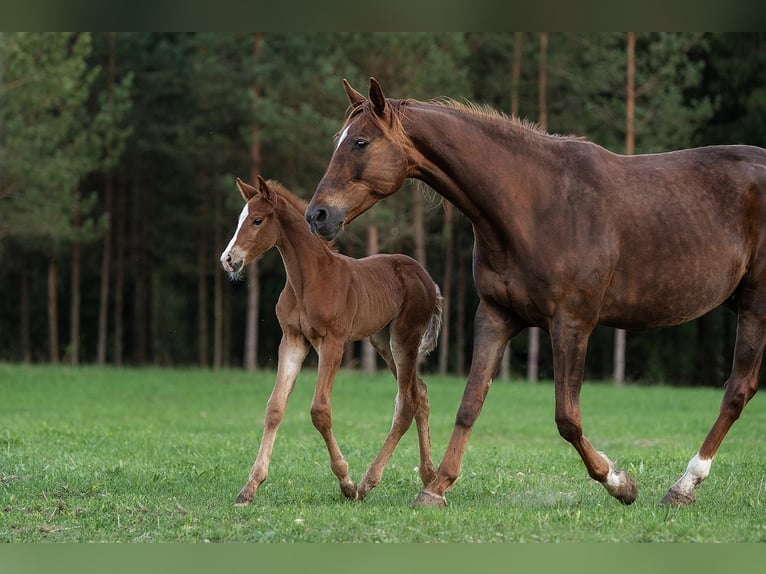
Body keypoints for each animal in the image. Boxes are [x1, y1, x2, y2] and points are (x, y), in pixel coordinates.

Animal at [222, 178, 440, 506]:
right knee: (421, 392)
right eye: (239, 219)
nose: (228, 260)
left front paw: (346, 481)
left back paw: (366, 483)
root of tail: (428, 278)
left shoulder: (333, 343)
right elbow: (274, 408)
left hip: (405, 338)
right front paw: (249, 488)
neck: (309, 279)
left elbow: (319, 411)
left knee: (407, 402)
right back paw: (428, 476)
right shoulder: (292, 340)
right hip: (381, 340)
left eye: (257, 220)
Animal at [306, 77, 766, 508]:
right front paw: (437, 488)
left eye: (361, 142)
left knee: (736, 392)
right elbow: (470, 404)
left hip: (755, 306)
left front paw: (619, 482)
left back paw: (683, 486)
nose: (317, 215)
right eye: (338, 140)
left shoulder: (572, 323)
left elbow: (567, 417)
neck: (536, 205)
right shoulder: (495, 316)